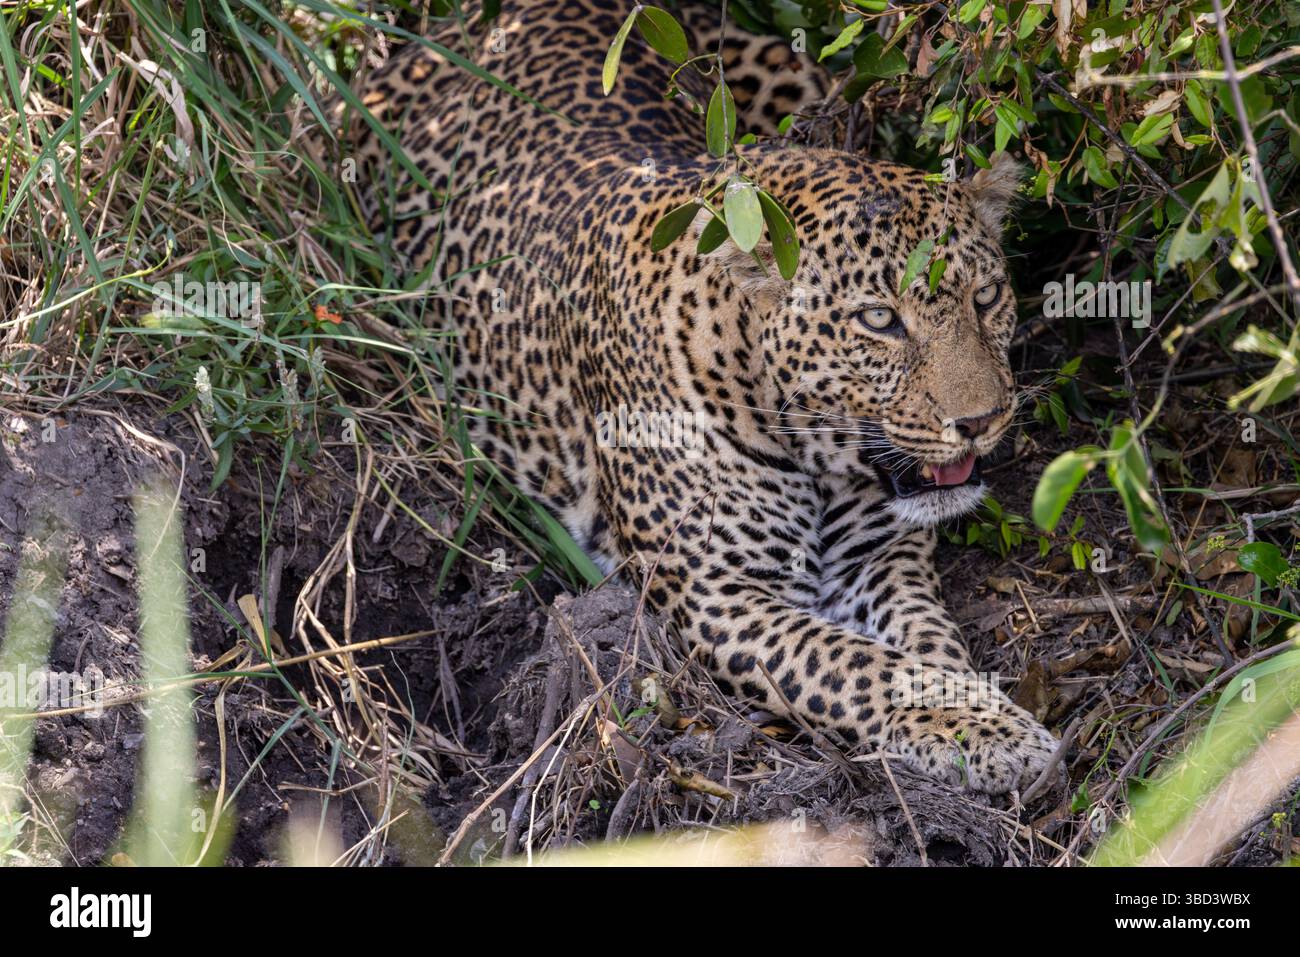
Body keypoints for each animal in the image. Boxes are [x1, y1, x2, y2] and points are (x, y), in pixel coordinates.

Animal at [347, 0, 1059, 794]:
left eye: (986, 297)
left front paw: (967, 713)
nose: (982, 420)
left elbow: (924, 643)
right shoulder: (721, 594)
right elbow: (856, 666)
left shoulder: (881, 556)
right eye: (880, 320)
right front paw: (988, 731)